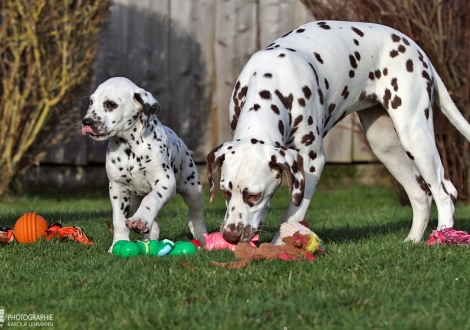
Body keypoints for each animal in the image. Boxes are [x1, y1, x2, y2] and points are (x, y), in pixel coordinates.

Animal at [81, 76, 207, 250]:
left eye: (111, 104)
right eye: (91, 102)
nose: (86, 122)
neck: (130, 148)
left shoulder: (165, 182)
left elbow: (152, 199)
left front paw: (140, 220)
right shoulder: (118, 188)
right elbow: (119, 220)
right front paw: (118, 243)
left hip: (194, 190)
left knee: (196, 216)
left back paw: (201, 237)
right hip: (135, 198)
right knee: (154, 225)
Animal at [207, 21, 470, 245]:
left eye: (254, 195)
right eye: (225, 192)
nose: (230, 236)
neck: (271, 81)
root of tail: (418, 50)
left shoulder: (312, 162)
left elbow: (292, 215)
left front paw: (279, 246)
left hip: (414, 134)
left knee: (445, 192)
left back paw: (442, 237)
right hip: (384, 145)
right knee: (420, 194)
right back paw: (413, 240)